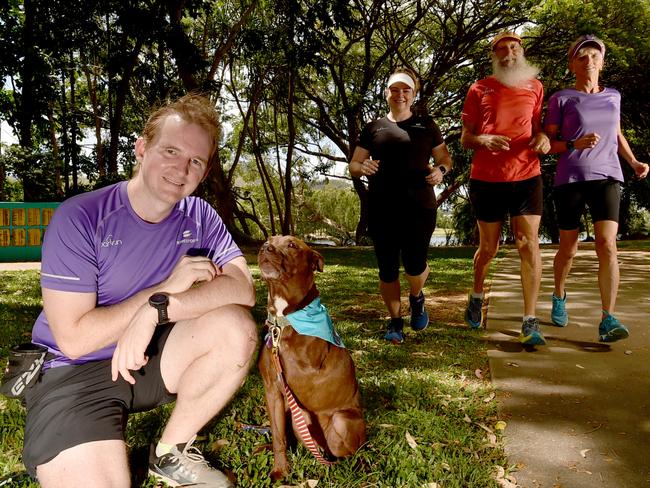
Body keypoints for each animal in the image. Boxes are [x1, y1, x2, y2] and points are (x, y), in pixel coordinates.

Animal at [256, 236, 364, 480]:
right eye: (269, 240)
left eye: (292, 245)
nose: (265, 248)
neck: (283, 319)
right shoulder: (272, 390)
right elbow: (278, 436)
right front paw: (280, 469)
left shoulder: (300, 376)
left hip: (341, 422)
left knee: (347, 450)